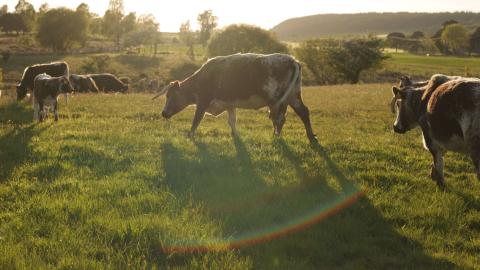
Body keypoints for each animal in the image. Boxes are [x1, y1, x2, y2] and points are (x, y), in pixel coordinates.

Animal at [154, 51, 316, 142]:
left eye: (171, 95)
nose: (163, 113)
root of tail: (293, 60)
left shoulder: (203, 102)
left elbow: (196, 120)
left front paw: (190, 136)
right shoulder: (230, 104)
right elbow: (232, 121)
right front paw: (235, 135)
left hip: (276, 100)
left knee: (280, 119)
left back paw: (276, 137)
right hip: (294, 96)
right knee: (303, 112)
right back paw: (310, 136)